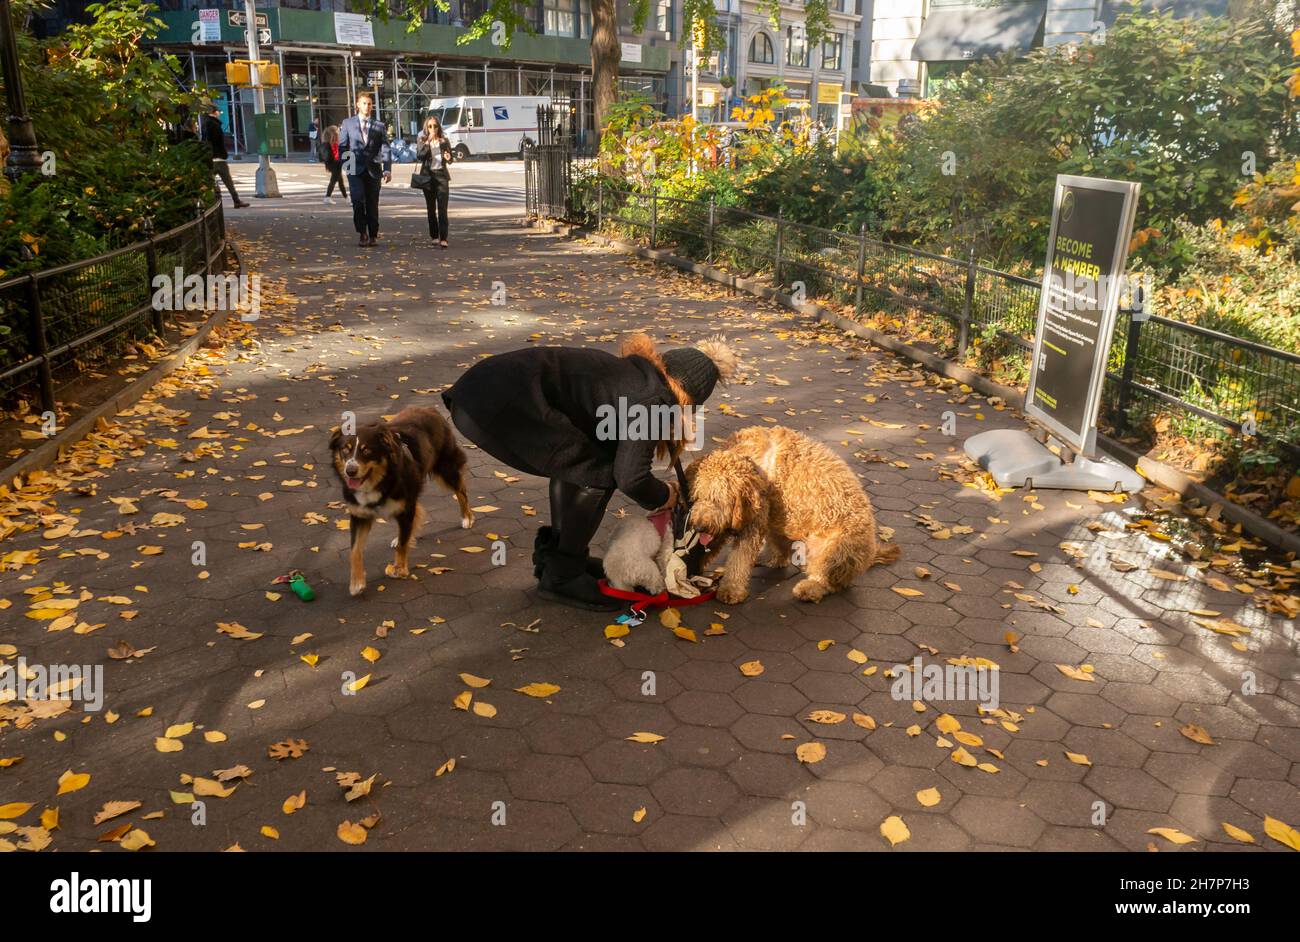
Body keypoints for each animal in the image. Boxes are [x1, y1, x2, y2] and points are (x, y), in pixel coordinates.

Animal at [330, 405, 473, 595]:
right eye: (345, 449)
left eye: (366, 450)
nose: (350, 471)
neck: (380, 480)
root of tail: (430, 409)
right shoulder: (360, 514)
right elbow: (354, 550)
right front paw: (356, 582)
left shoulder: (406, 509)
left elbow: (403, 544)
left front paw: (399, 568)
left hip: (446, 469)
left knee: (461, 491)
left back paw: (467, 517)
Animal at [686, 426, 899, 602]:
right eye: (697, 496)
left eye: (717, 499)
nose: (698, 526)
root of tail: (868, 556)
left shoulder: (753, 520)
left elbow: (739, 558)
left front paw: (730, 589)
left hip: (826, 546)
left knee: (830, 581)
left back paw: (811, 587)